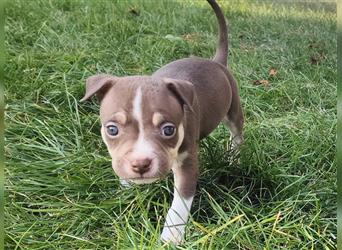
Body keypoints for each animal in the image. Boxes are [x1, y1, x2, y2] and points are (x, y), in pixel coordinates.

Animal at [81, 0, 244, 245]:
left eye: (168, 130)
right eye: (112, 129)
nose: (140, 164)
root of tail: (216, 62)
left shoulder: (187, 164)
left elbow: (180, 203)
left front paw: (171, 237)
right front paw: (127, 187)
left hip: (233, 108)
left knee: (236, 134)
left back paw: (234, 156)